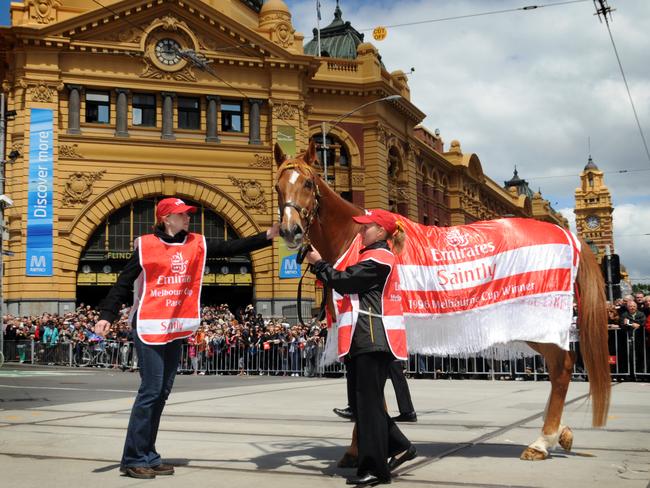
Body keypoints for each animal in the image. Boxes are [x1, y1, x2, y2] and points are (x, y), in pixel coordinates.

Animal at [274, 141, 608, 462]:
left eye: (307, 182)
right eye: (278, 186)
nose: (290, 231)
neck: (356, 239)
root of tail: (567, 235)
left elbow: (368, 392)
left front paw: (365, 452)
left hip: (537, 322)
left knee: (562, 367)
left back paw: (542, 442)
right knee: (558, 368)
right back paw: (557, 434)